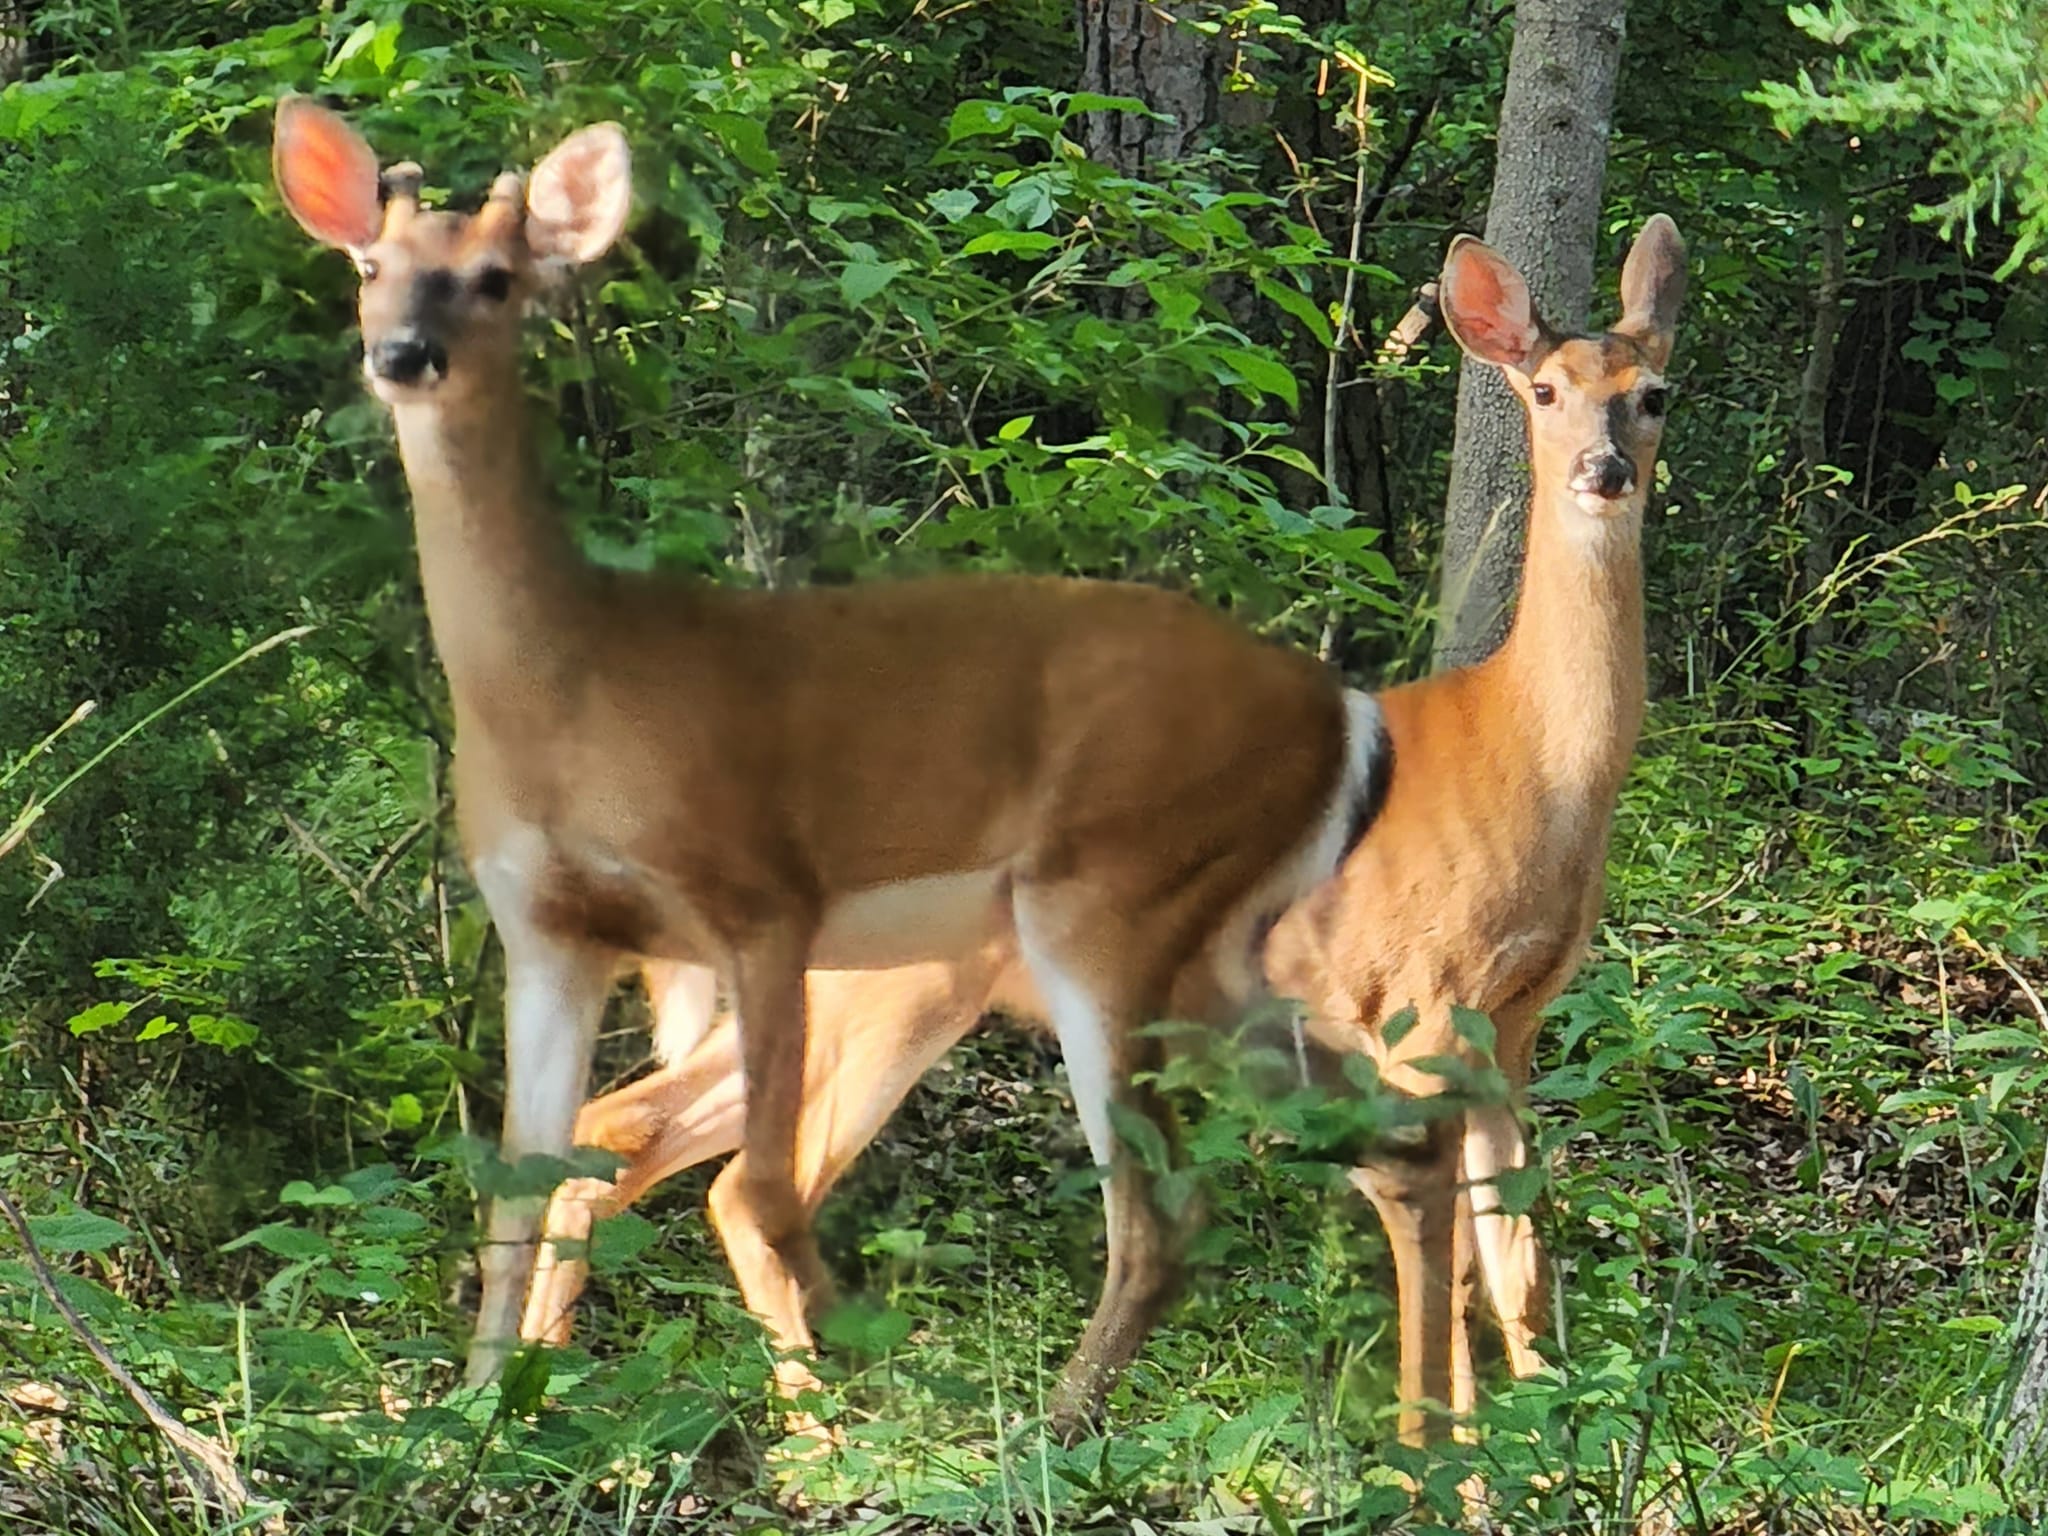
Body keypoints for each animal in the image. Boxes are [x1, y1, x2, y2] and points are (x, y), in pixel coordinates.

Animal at [272, 96, 1392, 1392]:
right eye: (371, 266)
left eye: (496, 278)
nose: (401, 355)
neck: (569, 696)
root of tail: (1337, 709)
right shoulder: (548, 932)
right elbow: (516, 1191)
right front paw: (486, 1409)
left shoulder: (760, 895)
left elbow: (759, 1190)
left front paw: (849, 1388)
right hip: (1207, 953)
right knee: (1394, 1120)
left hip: (1111, 897)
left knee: (1164, 1213)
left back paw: (1051, 1422)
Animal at [507, 217, 1679, 1441]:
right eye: (1543, 390)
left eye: (1654, 394)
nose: (1601, 471)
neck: (1528, 762)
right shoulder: (1413, 995)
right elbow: (1456, 1255)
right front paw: (1455, 1451)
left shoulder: (1517, 1019)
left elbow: (1517, 1257)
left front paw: (1545, 1449)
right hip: (900, 994)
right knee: (737, 1179)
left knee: (627, 1131)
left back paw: (553, 1406)